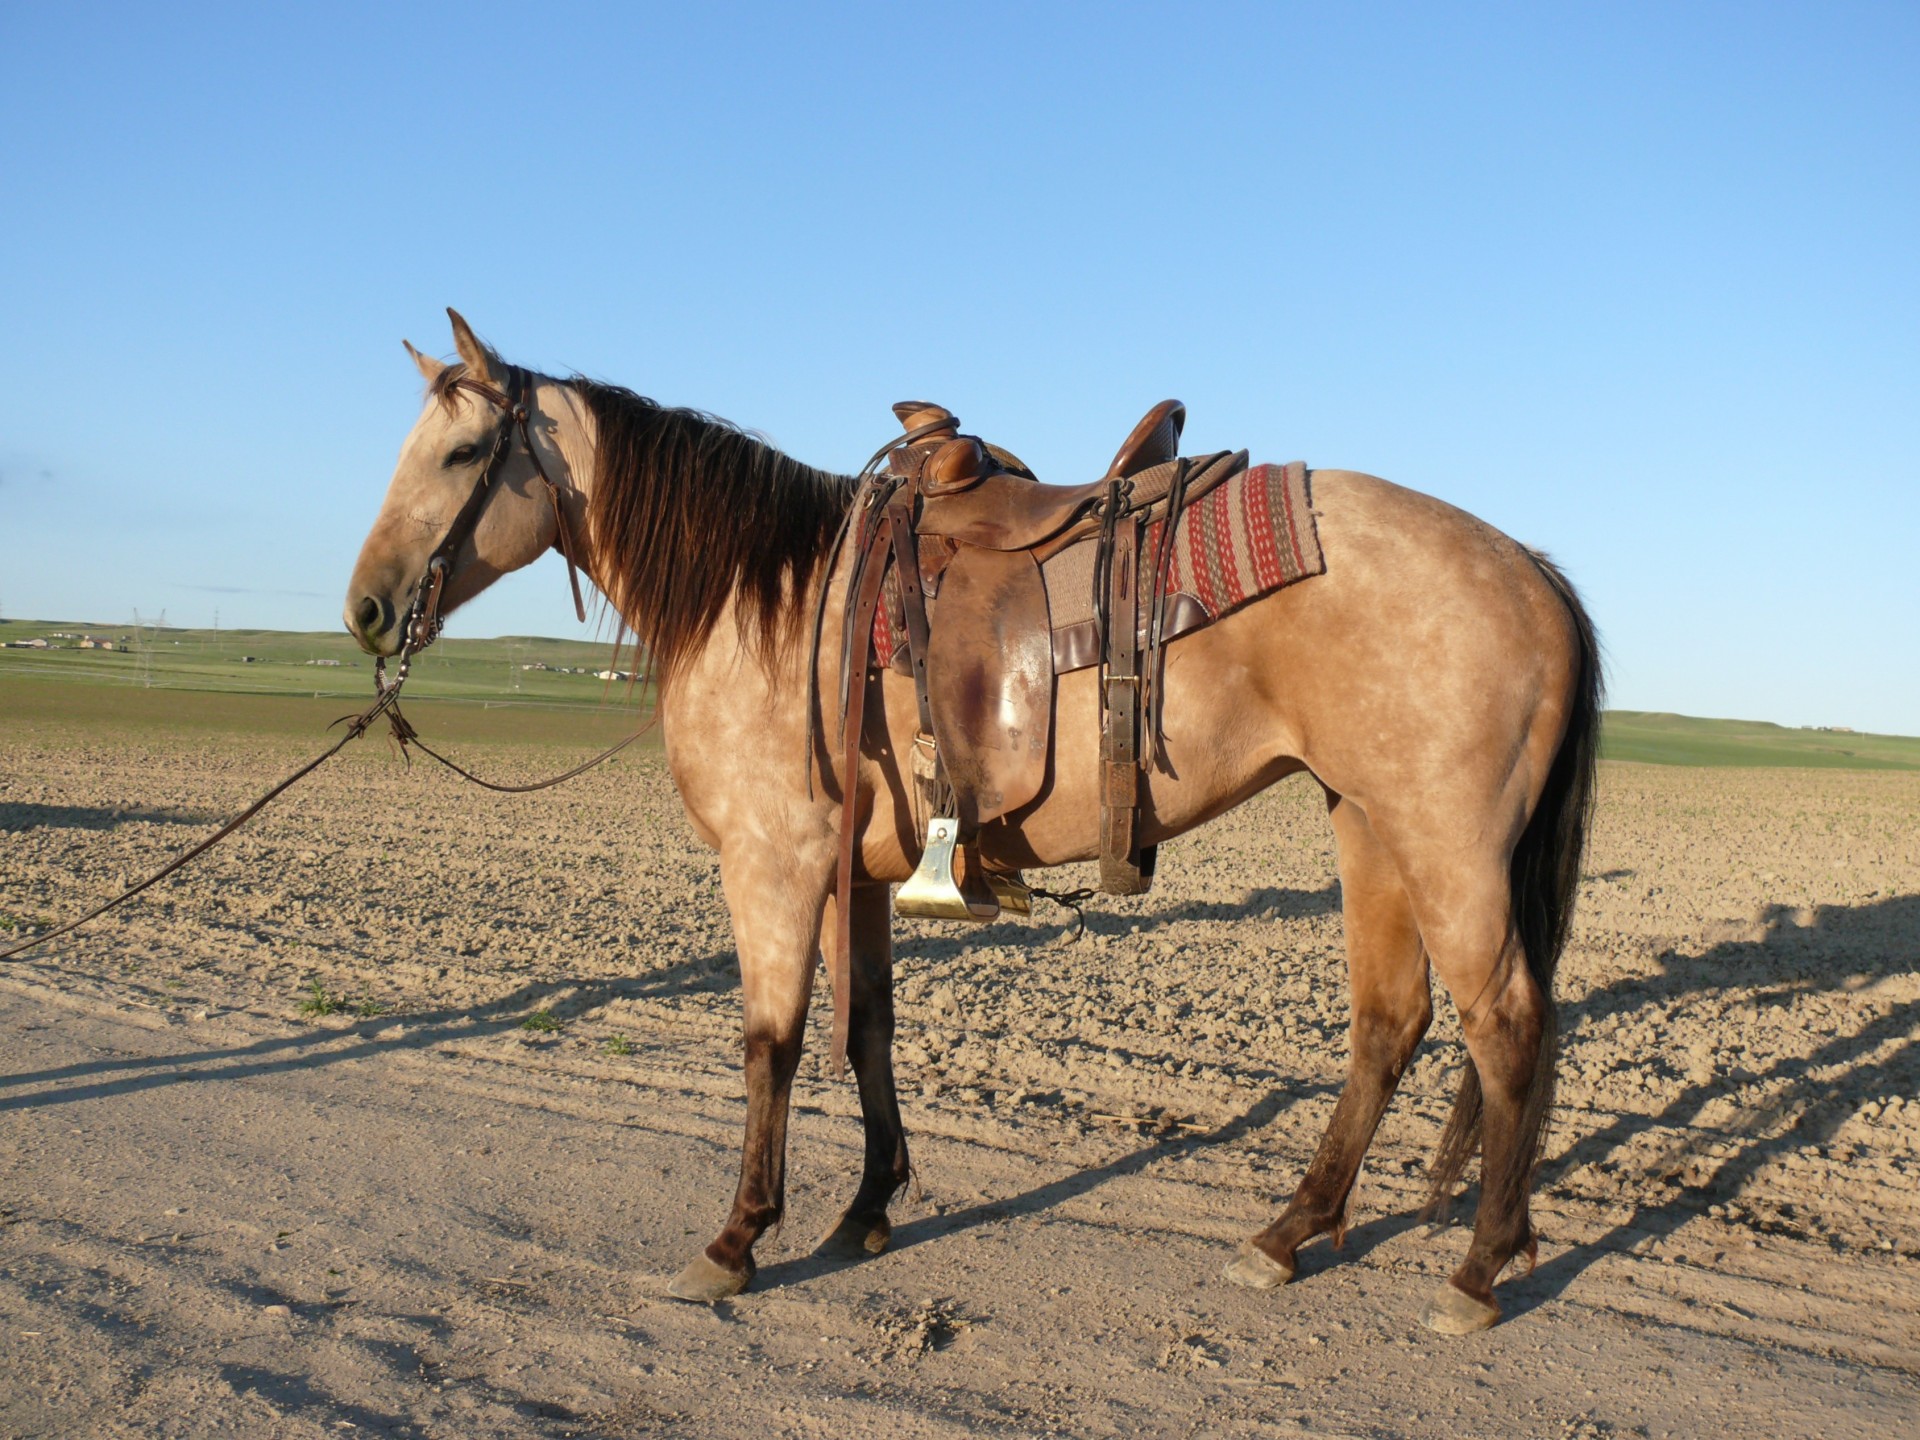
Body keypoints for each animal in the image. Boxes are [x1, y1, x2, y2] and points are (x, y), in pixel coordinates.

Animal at [349, 312, 1605, 1344]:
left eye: (462, 454)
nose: (365, 606)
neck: (768, 598)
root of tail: (1532, 571)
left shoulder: (773, 863)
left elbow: (770, 1044)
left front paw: (738, 1238)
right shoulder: (859, 874)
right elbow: (868, 1029)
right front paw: (864, 1212)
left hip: (1447, 848)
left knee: (1506, 1028)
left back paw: (1478, 1271)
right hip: (1370, 829)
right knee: (1390, 1025)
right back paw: (1289, 1233)